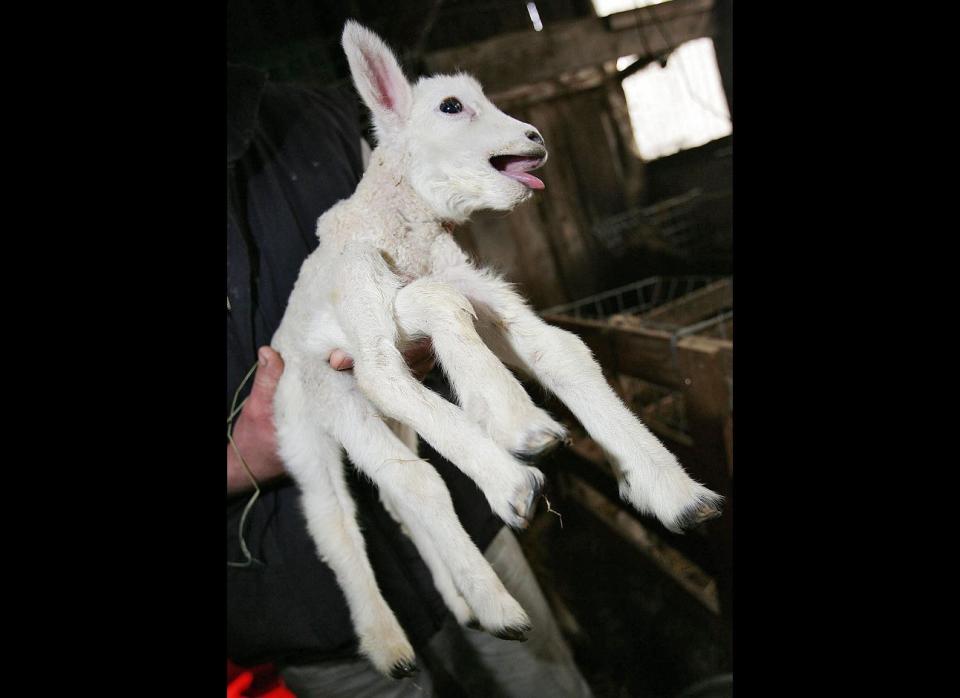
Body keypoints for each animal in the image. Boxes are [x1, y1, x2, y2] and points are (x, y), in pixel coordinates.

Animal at [268, 20, 720, 676]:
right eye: (451, 106)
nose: (535, 137)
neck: (405, 235)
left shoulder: (474, 287)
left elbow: (559, 350)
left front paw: (674, 492)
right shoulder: (365, 317)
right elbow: (406, 342)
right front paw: (513, 429)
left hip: (366, 409)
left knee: (401, 491)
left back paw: (470, 603)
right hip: (312, 409)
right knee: (344, 514)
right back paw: (399, 639)